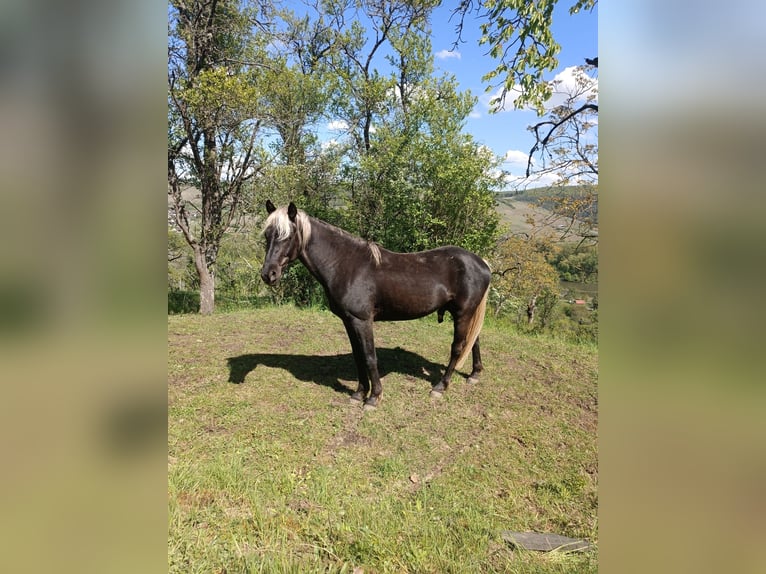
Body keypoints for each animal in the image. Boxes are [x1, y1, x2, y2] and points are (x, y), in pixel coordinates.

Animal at [262, 201, 492, 410]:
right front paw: (358, 394)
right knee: (473, 341)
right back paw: (474, 374)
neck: (346, 265)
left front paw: (374, 397)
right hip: (465, 313)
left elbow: (370, 357)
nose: (268, 274)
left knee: (458, 347)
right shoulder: (349, 321)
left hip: (462, 313)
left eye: (287, 236)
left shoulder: (363, 321)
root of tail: (481, 262)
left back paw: (440, 387)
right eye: (267, 236)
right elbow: (358, 357)